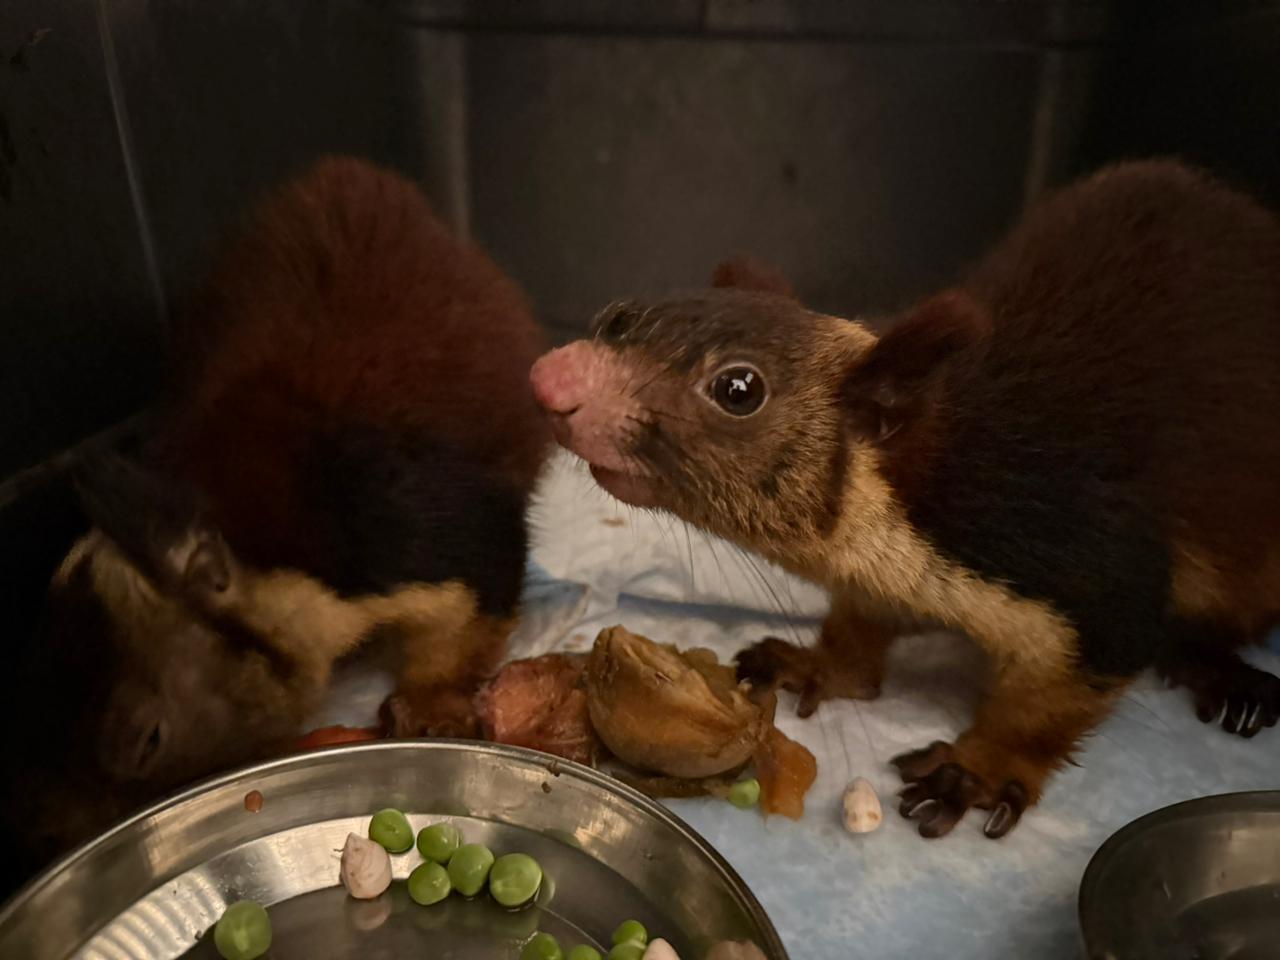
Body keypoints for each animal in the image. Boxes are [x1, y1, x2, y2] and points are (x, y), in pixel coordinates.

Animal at [529, 160, 1280, 839]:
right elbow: (860, 629)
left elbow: (1053, 700)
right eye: (616, 316)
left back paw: (1223, 674)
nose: (549, 379)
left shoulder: (1084, 562)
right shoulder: (877, 578)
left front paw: (976, 771)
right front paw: (818, 664)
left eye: (739, 389)